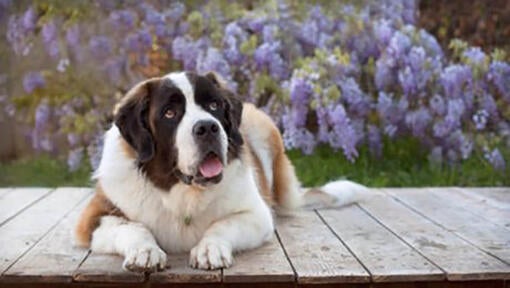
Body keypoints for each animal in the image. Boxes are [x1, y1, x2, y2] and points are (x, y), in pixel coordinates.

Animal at [74, 71, 366, 272]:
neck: (182, 191)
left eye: (214, 105)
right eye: (169, 113)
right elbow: (132, 227)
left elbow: (223, 224)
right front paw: (145, 251)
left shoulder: (257, 214)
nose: (207, 127)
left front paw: (209, 248)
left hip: (264, 127)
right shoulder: (93, 217)